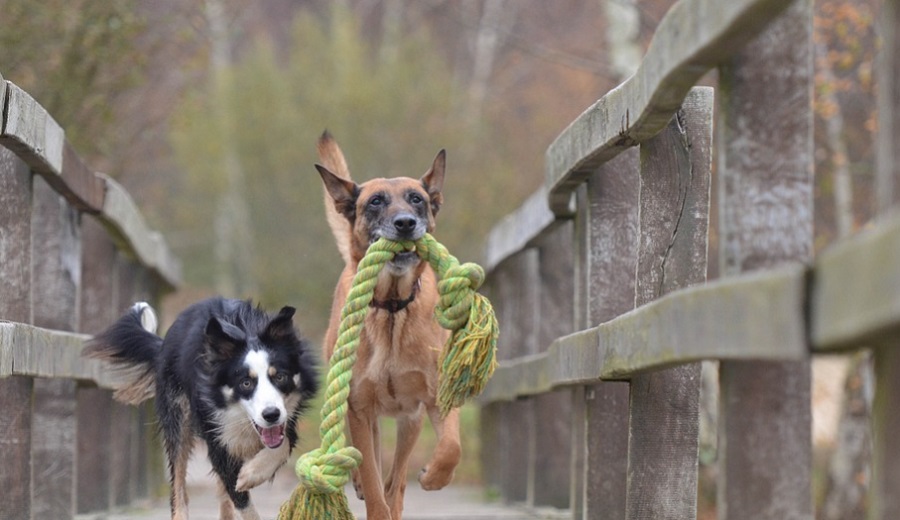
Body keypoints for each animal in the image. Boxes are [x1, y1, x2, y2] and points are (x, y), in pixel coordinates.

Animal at [84, 298, 316, 520]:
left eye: (280, 377)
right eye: (246, 383)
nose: (271, 415)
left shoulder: (288, 418)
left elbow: (283, 443)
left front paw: (251, 473)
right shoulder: (216, 434)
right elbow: (241, 498)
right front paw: (246, 478)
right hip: (177, 415)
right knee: (178, 481)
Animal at [314, 132, 458, 516]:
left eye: (417, 199)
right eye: (376, 202)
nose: (405, 223)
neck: (393, 309)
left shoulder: (435, 398)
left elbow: (451, 447)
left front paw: (434, 477)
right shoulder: (359, 408)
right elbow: (373, 480)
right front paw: (372, 494)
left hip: (410, 421)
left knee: (397, 477)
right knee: (372, 463)